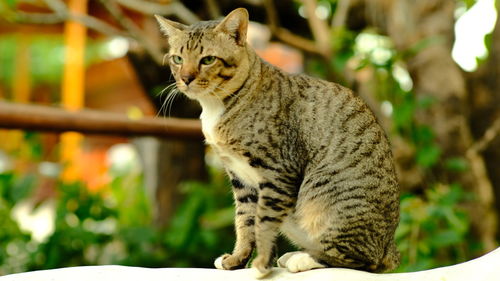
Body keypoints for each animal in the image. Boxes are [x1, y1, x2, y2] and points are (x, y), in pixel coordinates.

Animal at [154, 7, 400, 276]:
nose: (186, 78)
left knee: (363, 260)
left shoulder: (277, 171)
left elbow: (264, 222)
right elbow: (245, 221)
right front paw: (238, 259)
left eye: (208, 59)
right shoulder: (241, 179)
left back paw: (304, 258)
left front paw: (261, 265)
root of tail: (390, 246)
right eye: (178, 59)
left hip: (324, 200)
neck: (216, 107)